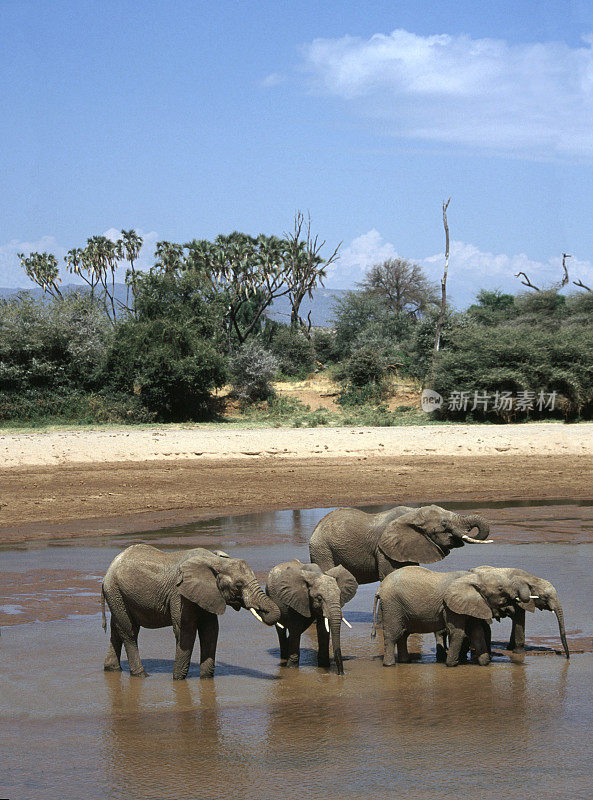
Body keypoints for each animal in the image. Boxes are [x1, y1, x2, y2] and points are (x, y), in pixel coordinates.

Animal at [101, 540, 280, 680]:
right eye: (238, 585)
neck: (215, 561)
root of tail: (107, 573)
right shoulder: (179, 594)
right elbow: (185, 631)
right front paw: (178, 680)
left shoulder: (209, 595)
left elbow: (210, 631)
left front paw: (206, 679)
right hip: (116, 592)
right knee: (129, 632)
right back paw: (142, 675)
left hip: (118, 595)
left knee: (116, 630)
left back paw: (112, 669)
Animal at [370, 564, 532, 668]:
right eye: (500, 589)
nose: (510, 609)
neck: (474, 577)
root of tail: (380, 588)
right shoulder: (450, 606)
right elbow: (458, 632)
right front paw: (452, 664)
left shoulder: (472, 603)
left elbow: (477, 632)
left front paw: (485, 663)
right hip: (392, 605)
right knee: (393, 635)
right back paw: (390, 665)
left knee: (403, 634)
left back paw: (405, 662)